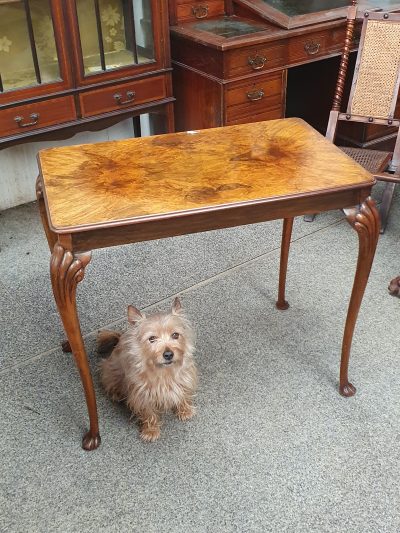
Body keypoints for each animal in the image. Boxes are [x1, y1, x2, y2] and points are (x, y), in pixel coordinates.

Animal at [97, 300, 197, 440]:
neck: (163, 372)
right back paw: (117, 394)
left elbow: (184, 394)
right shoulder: (142, 395)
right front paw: (150, 431)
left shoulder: (184, 379)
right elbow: (148, 413)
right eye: (152, 338)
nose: (168, 354)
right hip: (110, 371)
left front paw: (185, 410)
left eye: (175, 335)